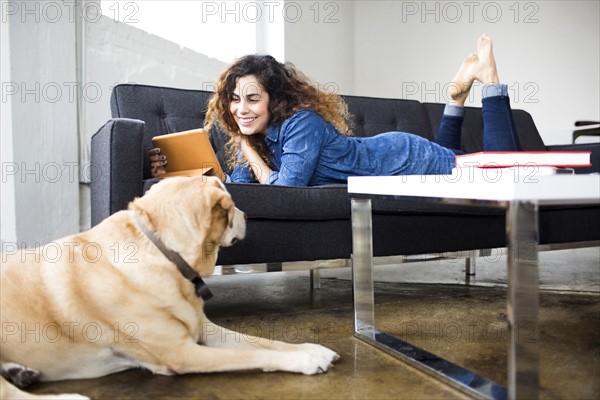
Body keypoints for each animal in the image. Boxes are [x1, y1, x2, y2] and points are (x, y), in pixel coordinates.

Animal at [0, 177, 338, 400]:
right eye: (231, 207)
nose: (247, 215)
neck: (165, 254)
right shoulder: (181, 353)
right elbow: (254, 356)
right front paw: (305, 360)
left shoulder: (206, 332)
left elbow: (264, 342)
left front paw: (312, 349)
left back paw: (19, 372)